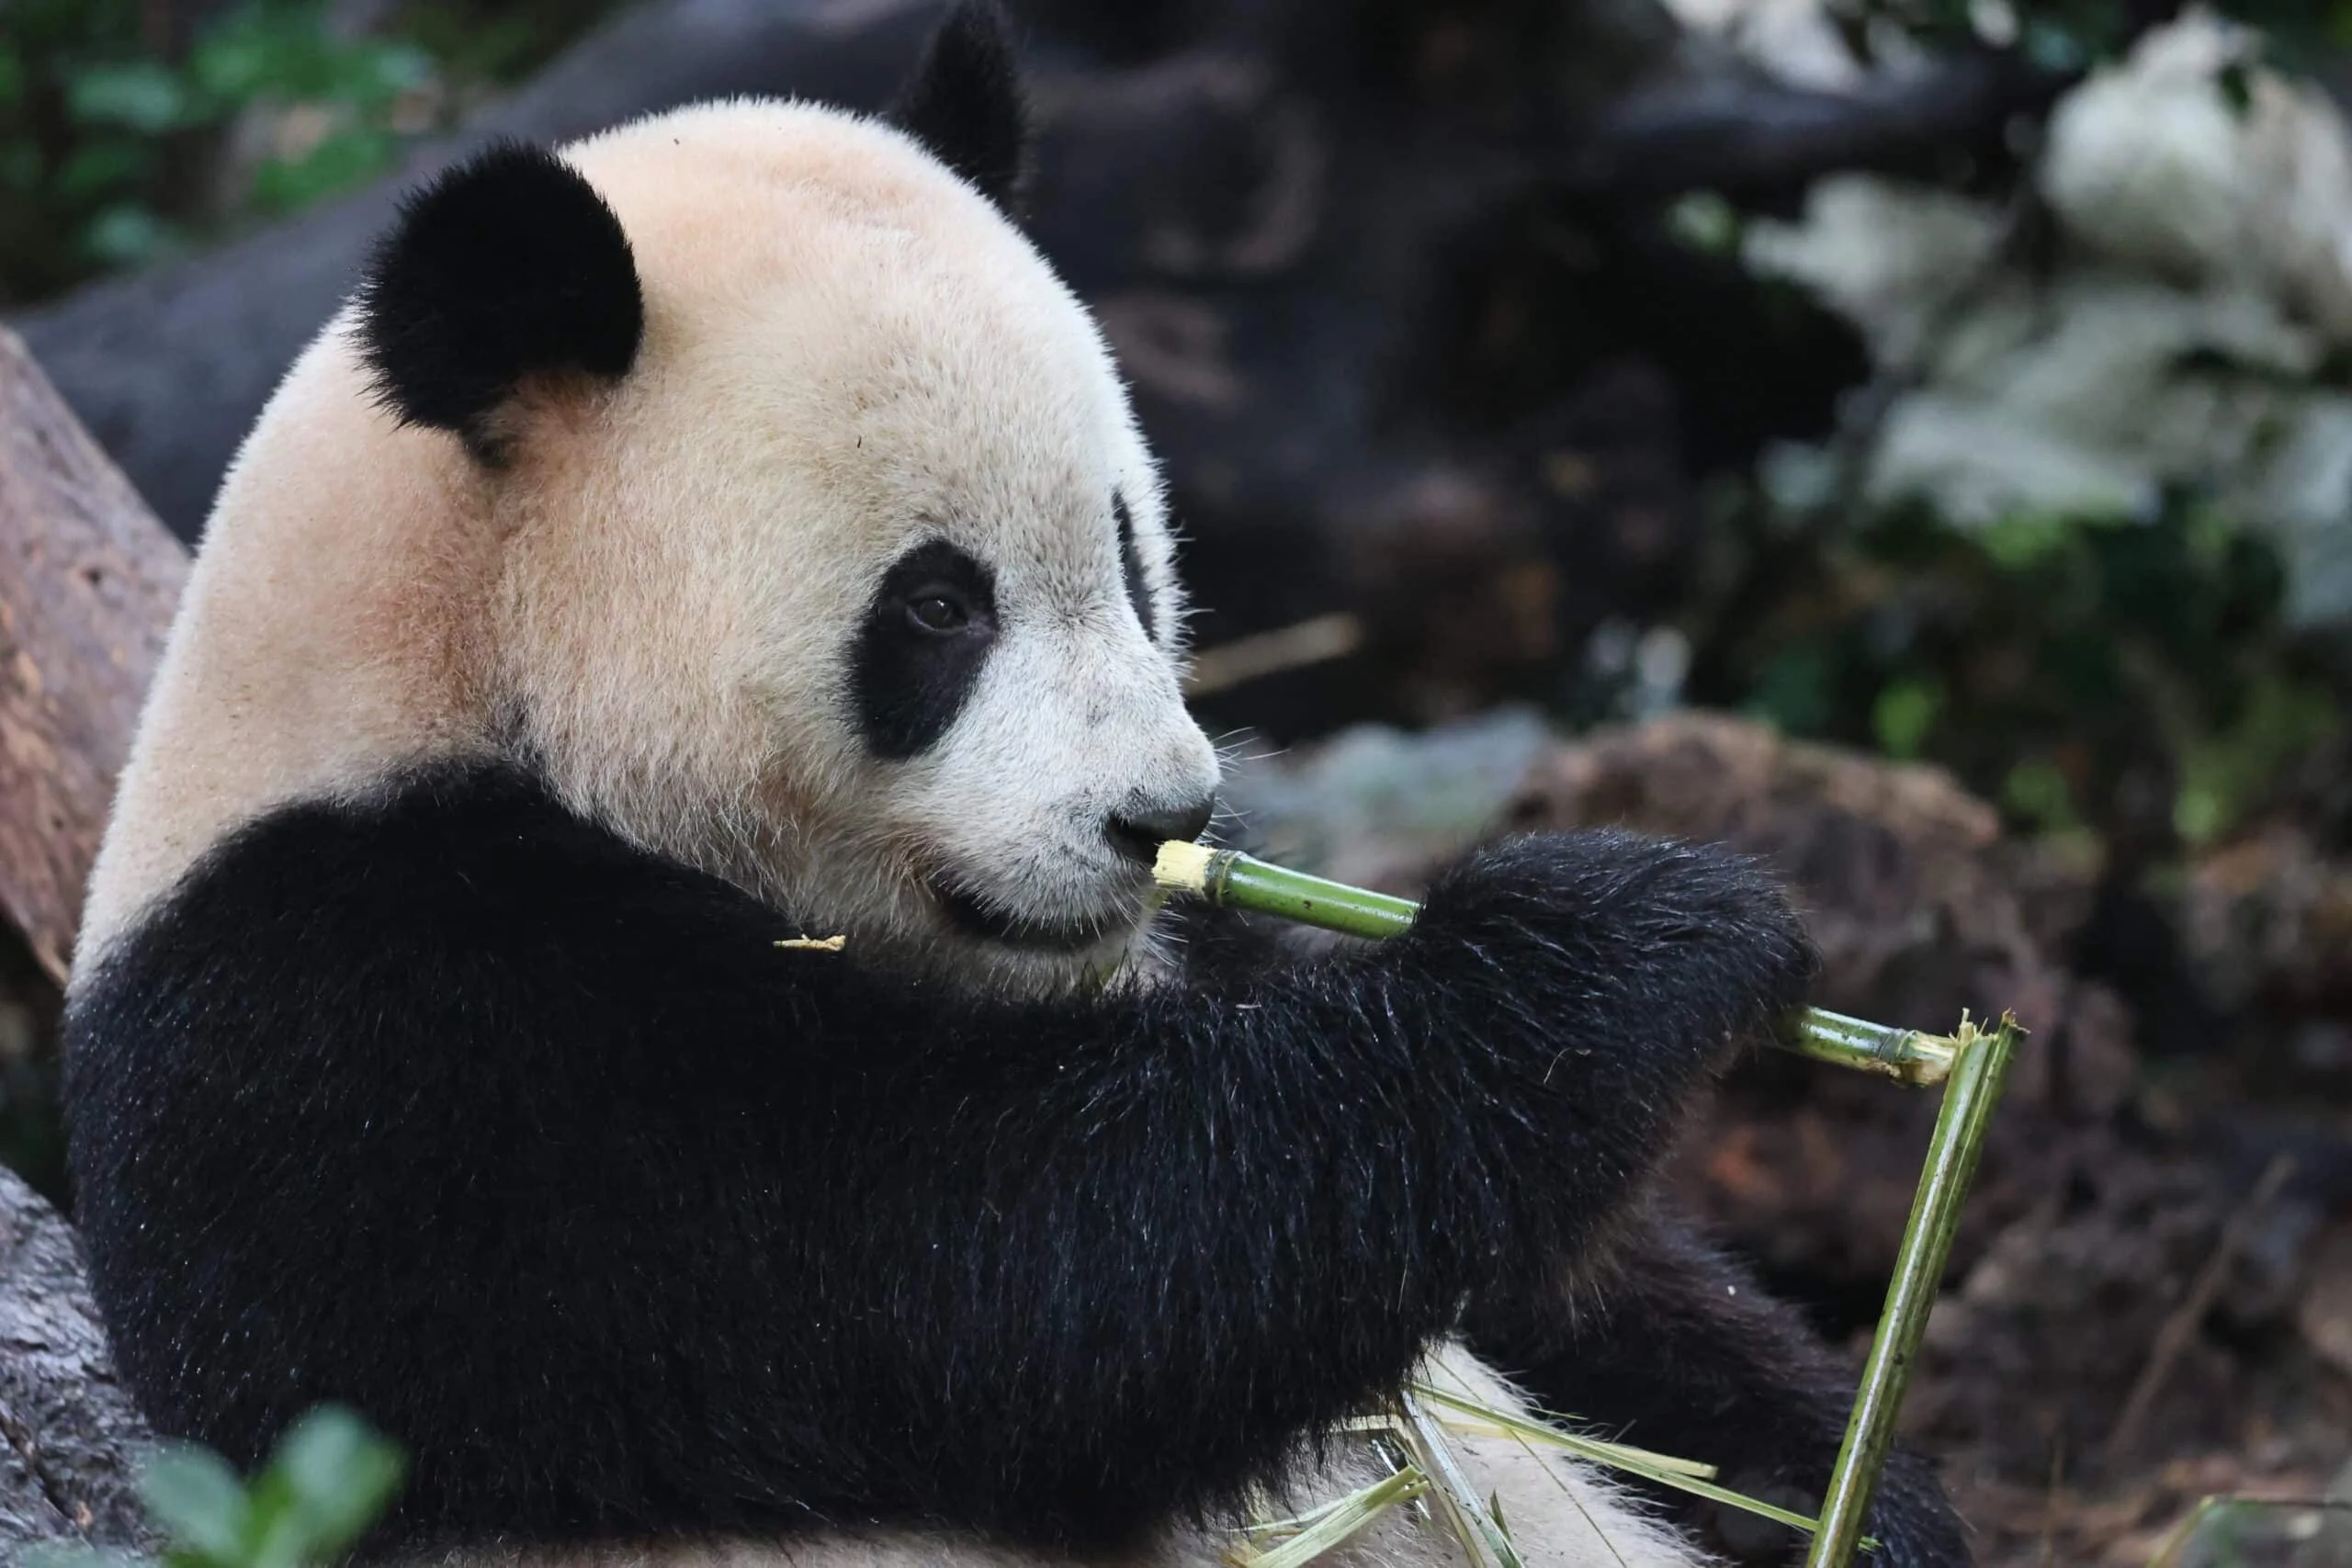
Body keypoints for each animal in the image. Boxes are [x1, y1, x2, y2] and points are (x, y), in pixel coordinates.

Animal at [60, 5, 1968, 1566]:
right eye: (937, 608)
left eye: (1132, 548)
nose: (1163, 821)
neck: (444, 669)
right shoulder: (389, 1044)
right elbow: (1004, 1271)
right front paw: (1627, 954)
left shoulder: (1193, 945)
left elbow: (1609, 1320)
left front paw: (1866, 1484)